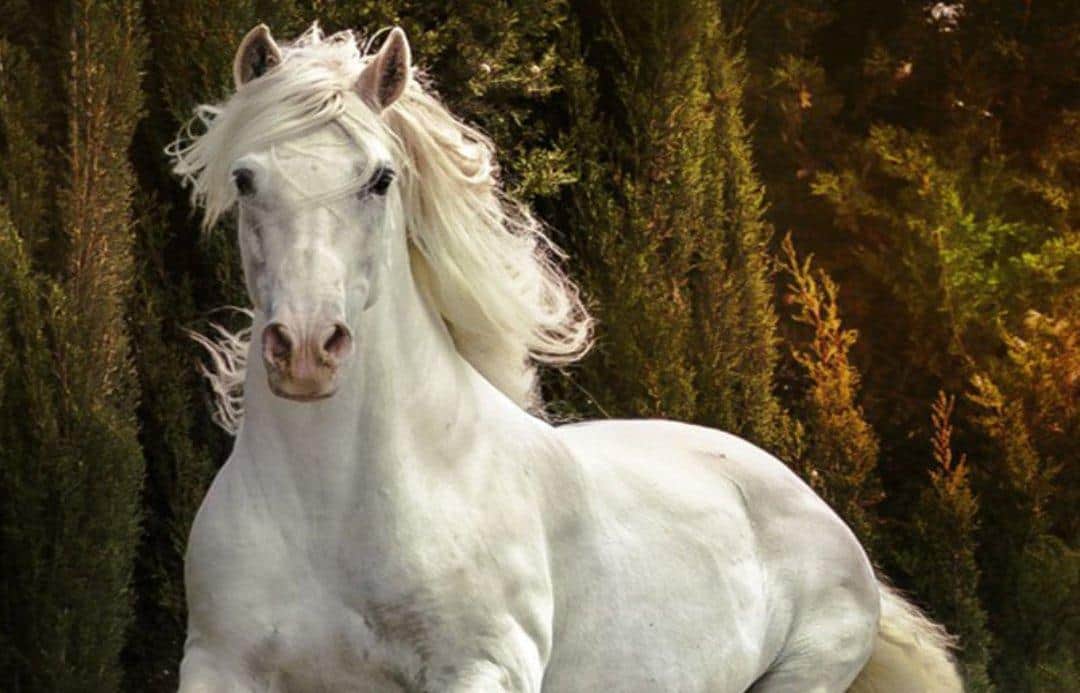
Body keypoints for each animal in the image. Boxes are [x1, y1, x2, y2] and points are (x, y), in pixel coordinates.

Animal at [170, 23, 963, 692]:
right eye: (244, 179)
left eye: (380, 179)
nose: (307, 349)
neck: (330, 508)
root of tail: (820, 510)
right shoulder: (219, 668)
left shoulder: (481, 671)